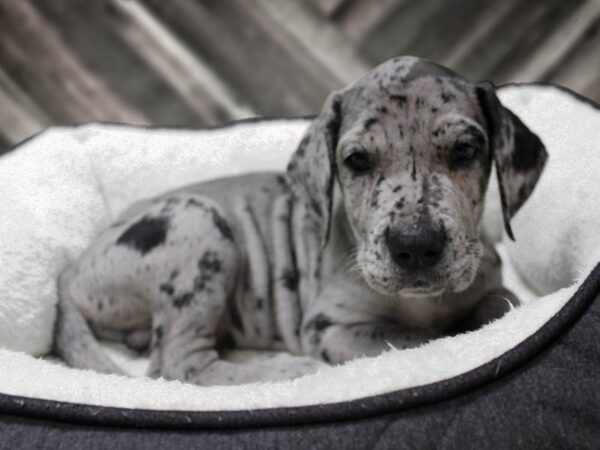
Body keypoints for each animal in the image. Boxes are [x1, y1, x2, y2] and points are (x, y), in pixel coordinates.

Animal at [54, 56, 548, 384]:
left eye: (465, 151)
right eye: (357, 161)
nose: (415, 245)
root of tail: (72, 270)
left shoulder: (492, 284)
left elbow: (502, 304)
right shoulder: (330, 328)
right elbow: (415, 339)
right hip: (199, 226)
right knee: (179, 365)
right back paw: (287, 370)